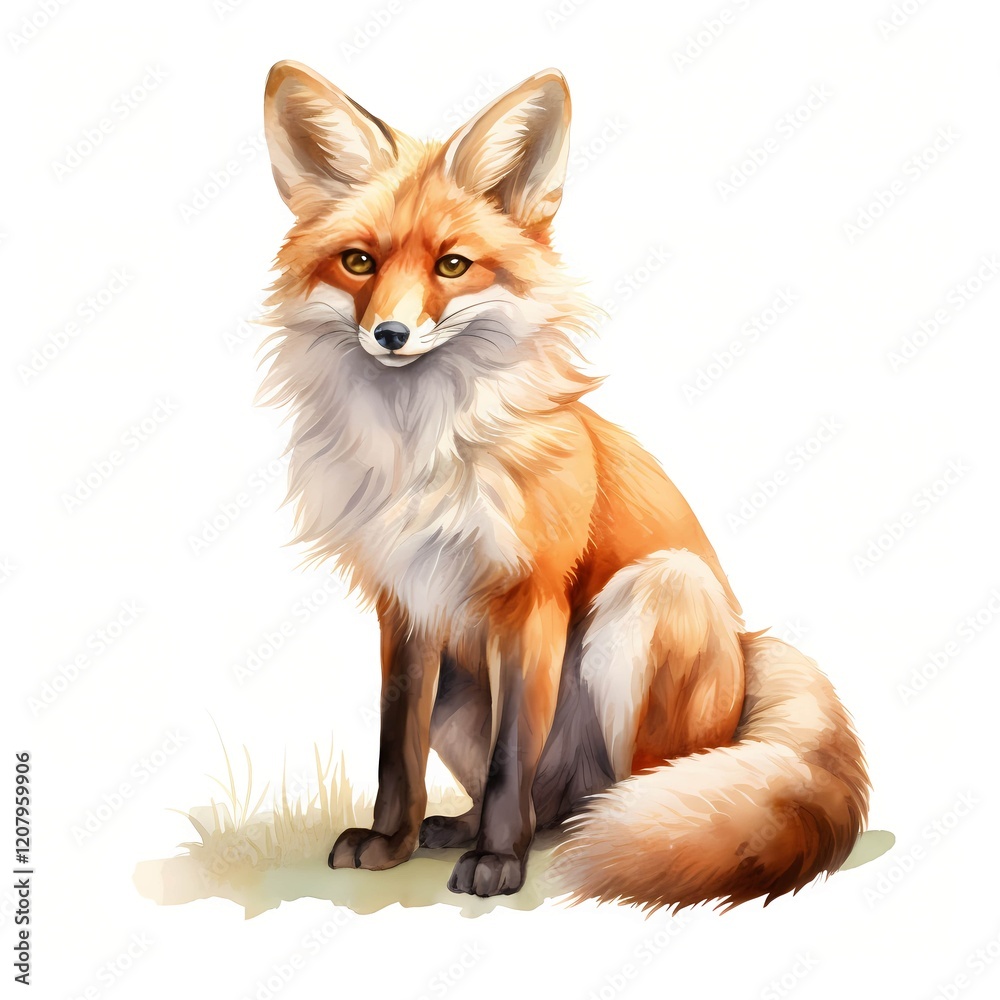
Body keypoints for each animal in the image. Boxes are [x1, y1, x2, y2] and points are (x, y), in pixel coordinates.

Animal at [257, 61, 870, 910]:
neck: (426, 450)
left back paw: (596, 837)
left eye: (452, 265)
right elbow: (395, 752)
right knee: (543, 803)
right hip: (462, 687)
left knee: (627, 794)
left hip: (654, 597)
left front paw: (495, 862)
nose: (389, 335)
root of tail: (751, 647)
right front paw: (390, 844)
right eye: (359, 262)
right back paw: (464, 827)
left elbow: (511, 757)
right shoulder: (406, 606)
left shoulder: (531, 600)